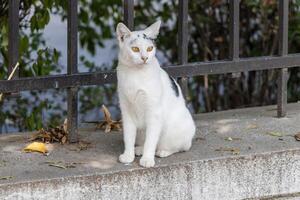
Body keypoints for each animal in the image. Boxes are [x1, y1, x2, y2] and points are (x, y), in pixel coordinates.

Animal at [116, 20, 196, 167]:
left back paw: (162, 151)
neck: (135, 74)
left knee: (179, 147)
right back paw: (139, 149)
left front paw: (147, 159)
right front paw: (128, 155)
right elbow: (128, 136)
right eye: (135, 49)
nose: (145, 58)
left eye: (149, 48)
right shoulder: (126, 111)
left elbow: (151, 140)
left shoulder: (154, 112)